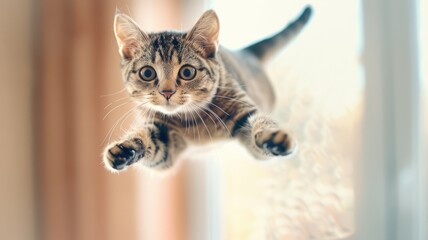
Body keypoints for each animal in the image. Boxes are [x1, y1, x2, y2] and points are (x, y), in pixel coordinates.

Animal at [103, 6, 310, 172]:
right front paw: (126, 147)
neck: (192, 120)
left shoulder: (244, 112)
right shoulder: (164, 140)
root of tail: (244, 52)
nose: (167, 92)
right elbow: (148, 140)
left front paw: (272, 136)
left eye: (187, 72)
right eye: (147, 73)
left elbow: (261, 123)